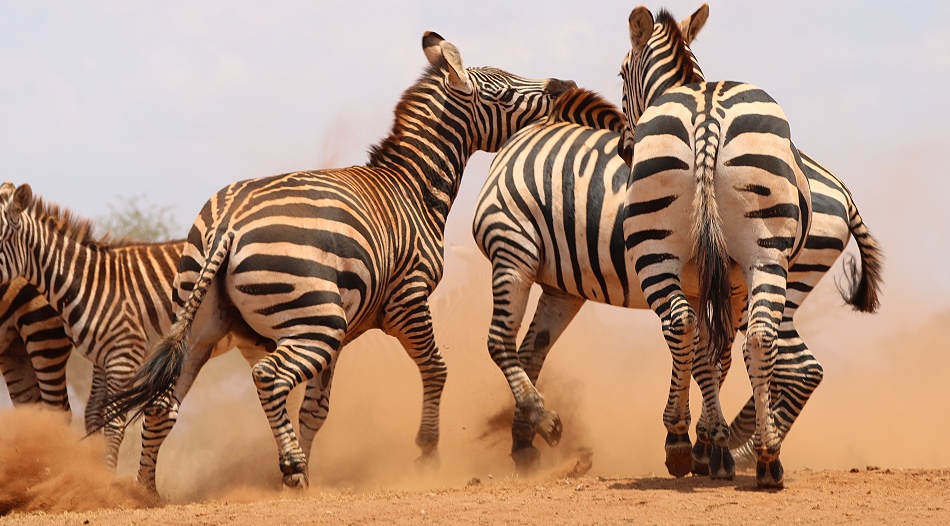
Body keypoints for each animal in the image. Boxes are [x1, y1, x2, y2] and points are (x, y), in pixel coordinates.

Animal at [0, 194, 270, 469]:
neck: (88, 283)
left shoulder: (122, 354)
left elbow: (112, 422)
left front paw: (106, 475)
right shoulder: (102, 358)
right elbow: (94, 414)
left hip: (42, 340)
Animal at [98, 30, 574, 493]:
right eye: (505, 92)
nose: (565, 84)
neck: (413, 187)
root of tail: (230, 221)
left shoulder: (347, 333)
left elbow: (316, 408)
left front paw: (312, 466)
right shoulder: (409, 299)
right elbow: (436, 369)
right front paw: (429, 452)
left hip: (205, 326)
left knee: (163, 404)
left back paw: (148, 490)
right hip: (315, 320)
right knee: (268, 376)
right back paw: (289, 467)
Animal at [618, 5, 882, 488]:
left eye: (621, 72)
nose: (627, 150)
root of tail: (706, 113)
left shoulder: (709, 285)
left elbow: (708, 354)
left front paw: (706, 443)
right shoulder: (721, 283)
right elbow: (712, 354)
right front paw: (714, 444)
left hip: (672, 258)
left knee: (700, 331)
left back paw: (694, 441)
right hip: (764, 256)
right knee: (761, 340)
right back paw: (763, 455)